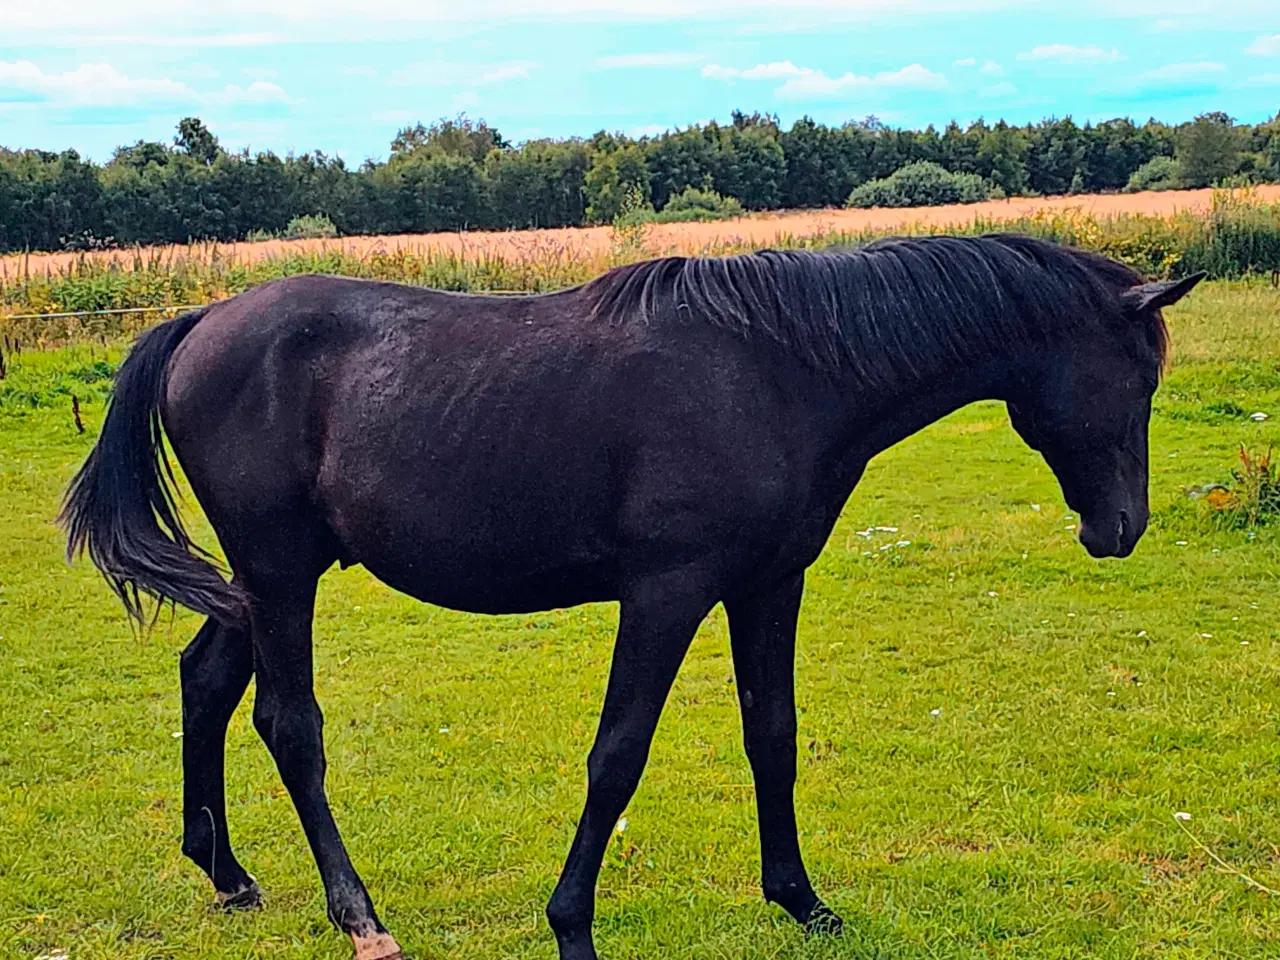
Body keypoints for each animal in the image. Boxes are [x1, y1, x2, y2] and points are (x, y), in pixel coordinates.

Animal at [60, 235, 1198, 960]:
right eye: (1138, 381)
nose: (1119, 529)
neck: (781, 370)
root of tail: (204, 318)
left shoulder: (766, 584)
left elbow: (772, 736)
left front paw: (802, 903)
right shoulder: (666, 594)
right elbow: (617, 757)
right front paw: (571, 925)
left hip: (263, 581)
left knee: (204, 683)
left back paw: (225, 873)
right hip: (281, 574)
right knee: (288, 724)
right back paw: (358, 915)